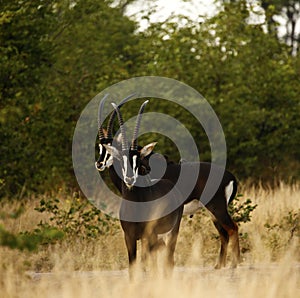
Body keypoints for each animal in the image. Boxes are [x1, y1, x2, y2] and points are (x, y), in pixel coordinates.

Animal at [95, 94, 240, 268]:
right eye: (100, 147)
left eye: (110, 149)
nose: (99, 164)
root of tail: (231, 177)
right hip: (212, 211)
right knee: (224, 234)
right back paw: (219, 266)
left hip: (217, 207)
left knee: (232, 229)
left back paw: (234, 264)